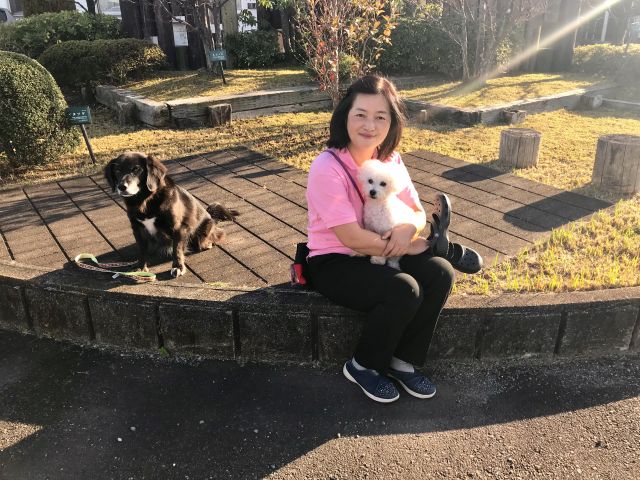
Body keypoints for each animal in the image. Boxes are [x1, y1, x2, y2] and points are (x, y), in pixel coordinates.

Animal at [104, 151, 238, 278]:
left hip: (204, 229)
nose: (121, 187)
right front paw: (140, 267)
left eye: (136, 169)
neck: (144, 200)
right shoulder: (137, 228)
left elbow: (177, 249)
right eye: (117, 170)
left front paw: (178, 266)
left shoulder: (177, 227)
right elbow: (141, 250)